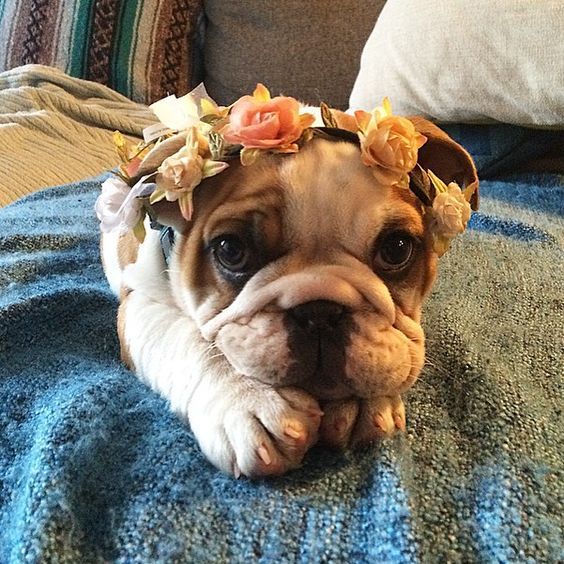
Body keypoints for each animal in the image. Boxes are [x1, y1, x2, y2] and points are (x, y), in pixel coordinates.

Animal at [99, 90, 478, 478]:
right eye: (231, 250)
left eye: (397, 248)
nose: (321, 311)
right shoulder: (139, 302)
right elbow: (189, 340)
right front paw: (248, 399)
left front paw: (365, 402)